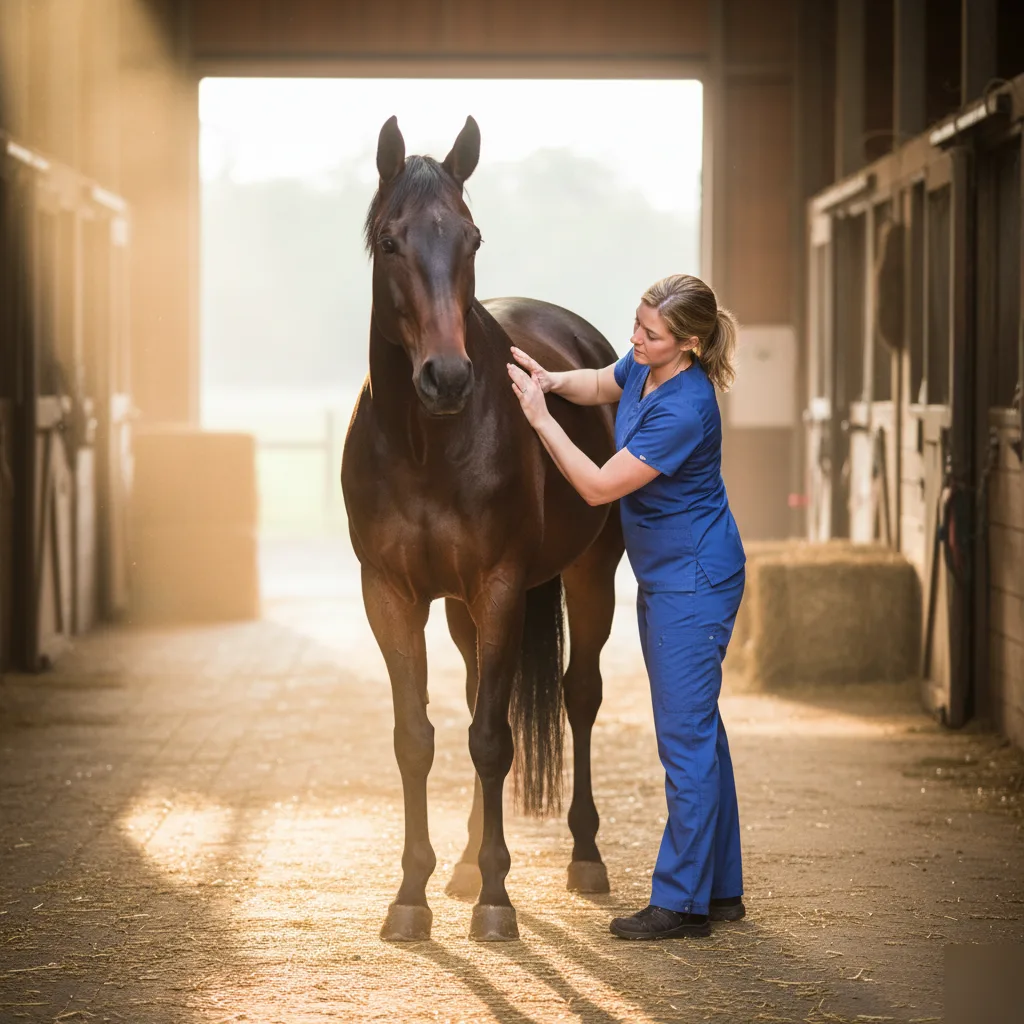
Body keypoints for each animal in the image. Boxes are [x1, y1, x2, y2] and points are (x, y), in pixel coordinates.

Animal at [341, 115, 624, 942]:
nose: (447, 377)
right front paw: (412, 895)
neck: (425, 445)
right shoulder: (391, 595)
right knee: (475, 700)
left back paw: (583, 857)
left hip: (591, 575)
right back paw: (465, 866)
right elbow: (418, 738)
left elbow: (494, 740)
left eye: (471, 238)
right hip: (464, 611)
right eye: (392, 241)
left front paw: (498, 899)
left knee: (578, 695)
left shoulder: (500, 587)